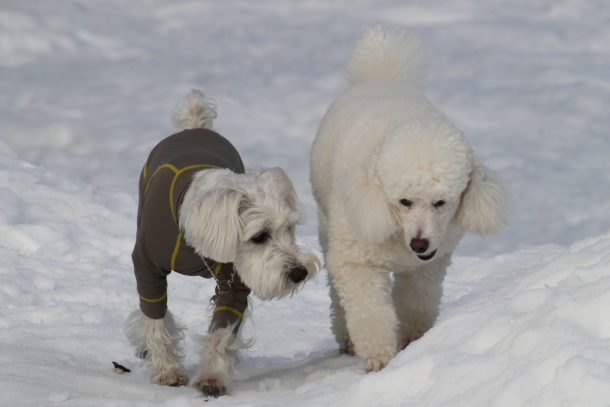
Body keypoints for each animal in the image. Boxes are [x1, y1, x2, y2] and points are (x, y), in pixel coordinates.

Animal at [123, 90, 318, 398]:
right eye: (259, 236)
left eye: (290, 228)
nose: (300, 273)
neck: (195, 241)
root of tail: (195, 127)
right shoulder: (147, 267)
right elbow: (155, 318)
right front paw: (167, 370)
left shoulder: (234, 284)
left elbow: (222, 332)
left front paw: (211, 377)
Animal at [308, 24, 508, 372]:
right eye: (404, 201)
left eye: (442, 202)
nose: (420, 244)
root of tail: (382, 78)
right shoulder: (357, 258)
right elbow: (369, 312)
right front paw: (379, 360)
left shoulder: (429, 266)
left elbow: (417, 302)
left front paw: (412, 343)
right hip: (327, 224)